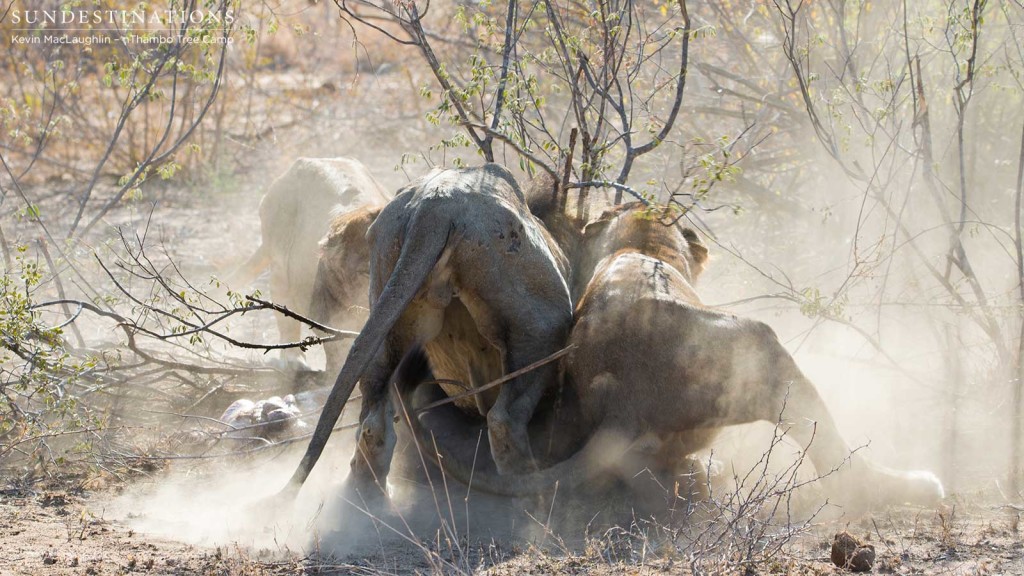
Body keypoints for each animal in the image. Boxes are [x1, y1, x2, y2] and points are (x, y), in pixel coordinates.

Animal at [280, 163, 573, 500]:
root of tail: (432, 207)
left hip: (387, 296)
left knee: (373, 422)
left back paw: (369, 497)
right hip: (543, 320)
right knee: (503, 419)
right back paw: (530, 491)